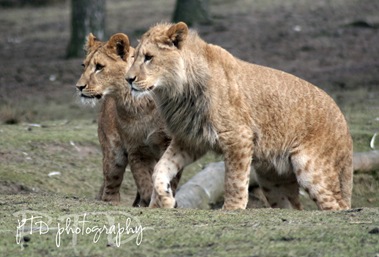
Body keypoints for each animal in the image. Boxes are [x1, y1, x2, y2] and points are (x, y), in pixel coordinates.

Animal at [127, 22, 354, 210]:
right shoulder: (189, 140)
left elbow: (234, 180)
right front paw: (163, 201)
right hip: (273, 181)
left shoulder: (238, 136)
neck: (176, 93)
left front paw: (232, 209)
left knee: (338, 205)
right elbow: (160, 168)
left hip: (311, 169)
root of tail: (343, 122)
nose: (128, 79)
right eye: (134, 57)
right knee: (295, 207)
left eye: (148, 57)